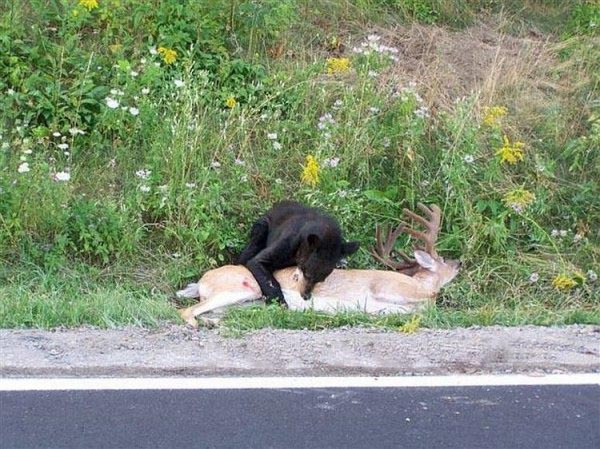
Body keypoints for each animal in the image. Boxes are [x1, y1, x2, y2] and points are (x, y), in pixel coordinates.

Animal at [176, 203, 462, 326]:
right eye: (443, 260)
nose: (459, 262)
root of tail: (200, 282)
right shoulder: (389, 286)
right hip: (241, 289)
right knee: (187, 311)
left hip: (247, 301)